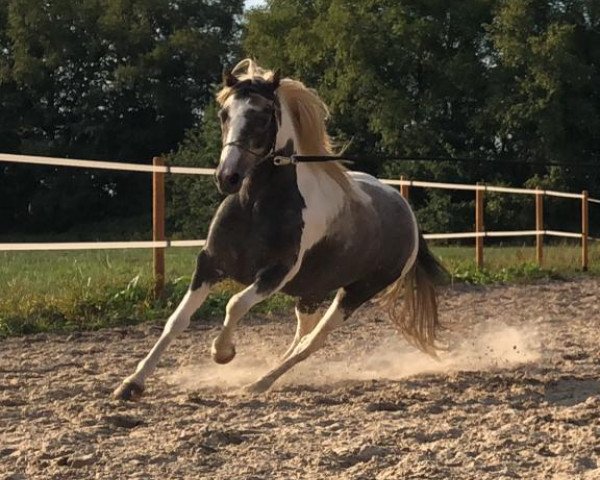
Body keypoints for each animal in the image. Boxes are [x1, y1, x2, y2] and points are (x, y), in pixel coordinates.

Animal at [115, 58, 448, 400]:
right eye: (224, 114)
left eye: (263, 116)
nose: (227, 177)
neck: (255, 206)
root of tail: (405, 211)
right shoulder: (209, 263)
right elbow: (177, 320)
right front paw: (132, 383)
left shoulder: (275, 274)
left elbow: (235, 305)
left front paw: (223, 352)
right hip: (311, 291)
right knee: (303, 336)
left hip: (357, 292)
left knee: (314, 341)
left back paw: (259, 382)